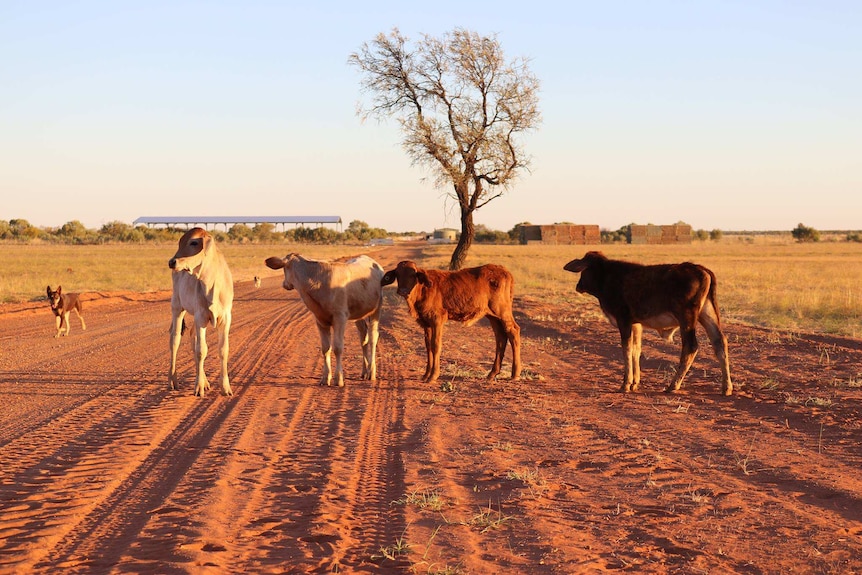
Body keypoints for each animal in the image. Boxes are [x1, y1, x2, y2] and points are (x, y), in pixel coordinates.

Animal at [384, 264, 520, 384]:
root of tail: (505, 271)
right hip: (493, 316)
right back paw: (492, 373)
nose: (403, 291)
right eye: (397, 274)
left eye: (413, 274)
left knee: (513, 331)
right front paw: (426, 374)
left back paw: (515, 374)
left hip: (502, 311)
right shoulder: (426, 324)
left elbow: (436, 346)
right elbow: (428, 347)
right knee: (501, 337)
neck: (422, 290)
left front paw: (433, 376)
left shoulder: (437, 320)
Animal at [568, 252, 736, 396]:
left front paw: (625, 384)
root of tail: (701, 269)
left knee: (691, 346)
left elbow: (627, 350)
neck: (606, 277)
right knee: (720, 343)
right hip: (707, 315)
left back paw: (673, 385)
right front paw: (635, 382)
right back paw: (726, 387)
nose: (578, 285)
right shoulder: (636, 324)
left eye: (583, 270)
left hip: (687, 319)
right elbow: (636, 350)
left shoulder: (624, 321)